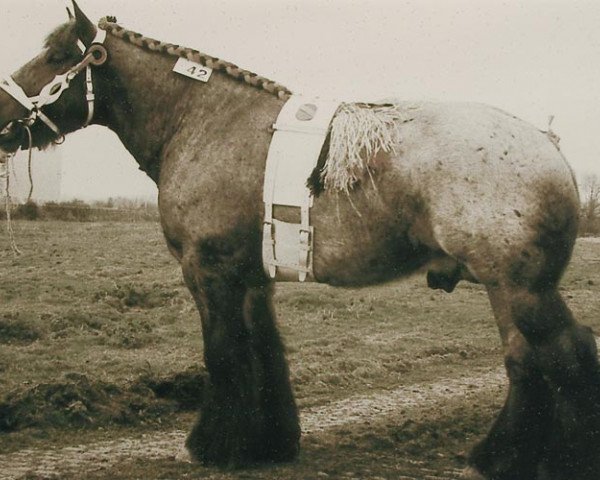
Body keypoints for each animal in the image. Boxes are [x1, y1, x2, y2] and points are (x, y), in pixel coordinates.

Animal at [1, 2, 600, 476]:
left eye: (57, 56)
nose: (3, 115)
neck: (205, 122)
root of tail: (548, 146)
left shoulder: (208, 270)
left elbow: (223, 353)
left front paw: (215, 447)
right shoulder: (249, 278)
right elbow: (262, 352)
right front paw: (265, 443)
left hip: (520, 287)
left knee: (563, 357)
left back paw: (541, 459)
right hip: (510, 289)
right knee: (528, 361)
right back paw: (503, 456)